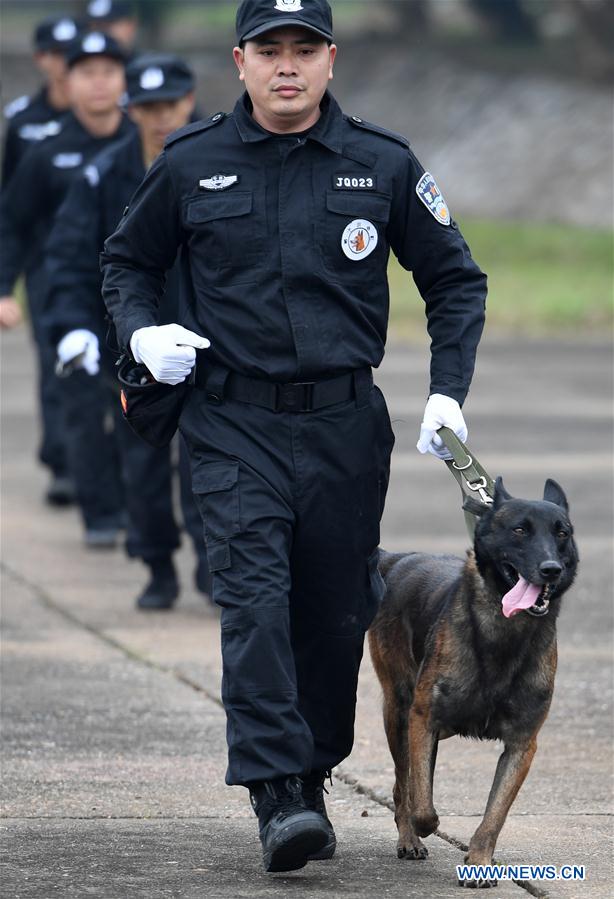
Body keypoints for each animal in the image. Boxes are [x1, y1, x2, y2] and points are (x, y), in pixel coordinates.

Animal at [368, 478, 580, 884]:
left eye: (562, 533)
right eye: (519, 530)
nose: (550, 569)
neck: (506, 635)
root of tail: (397, 559)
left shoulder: (521, 746)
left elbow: (494, 816)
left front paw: (479, 860)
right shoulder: (423, 720)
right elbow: (422, 805)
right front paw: (421, 827)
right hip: (399, 715)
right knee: (404, 782)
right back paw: (409, 838)